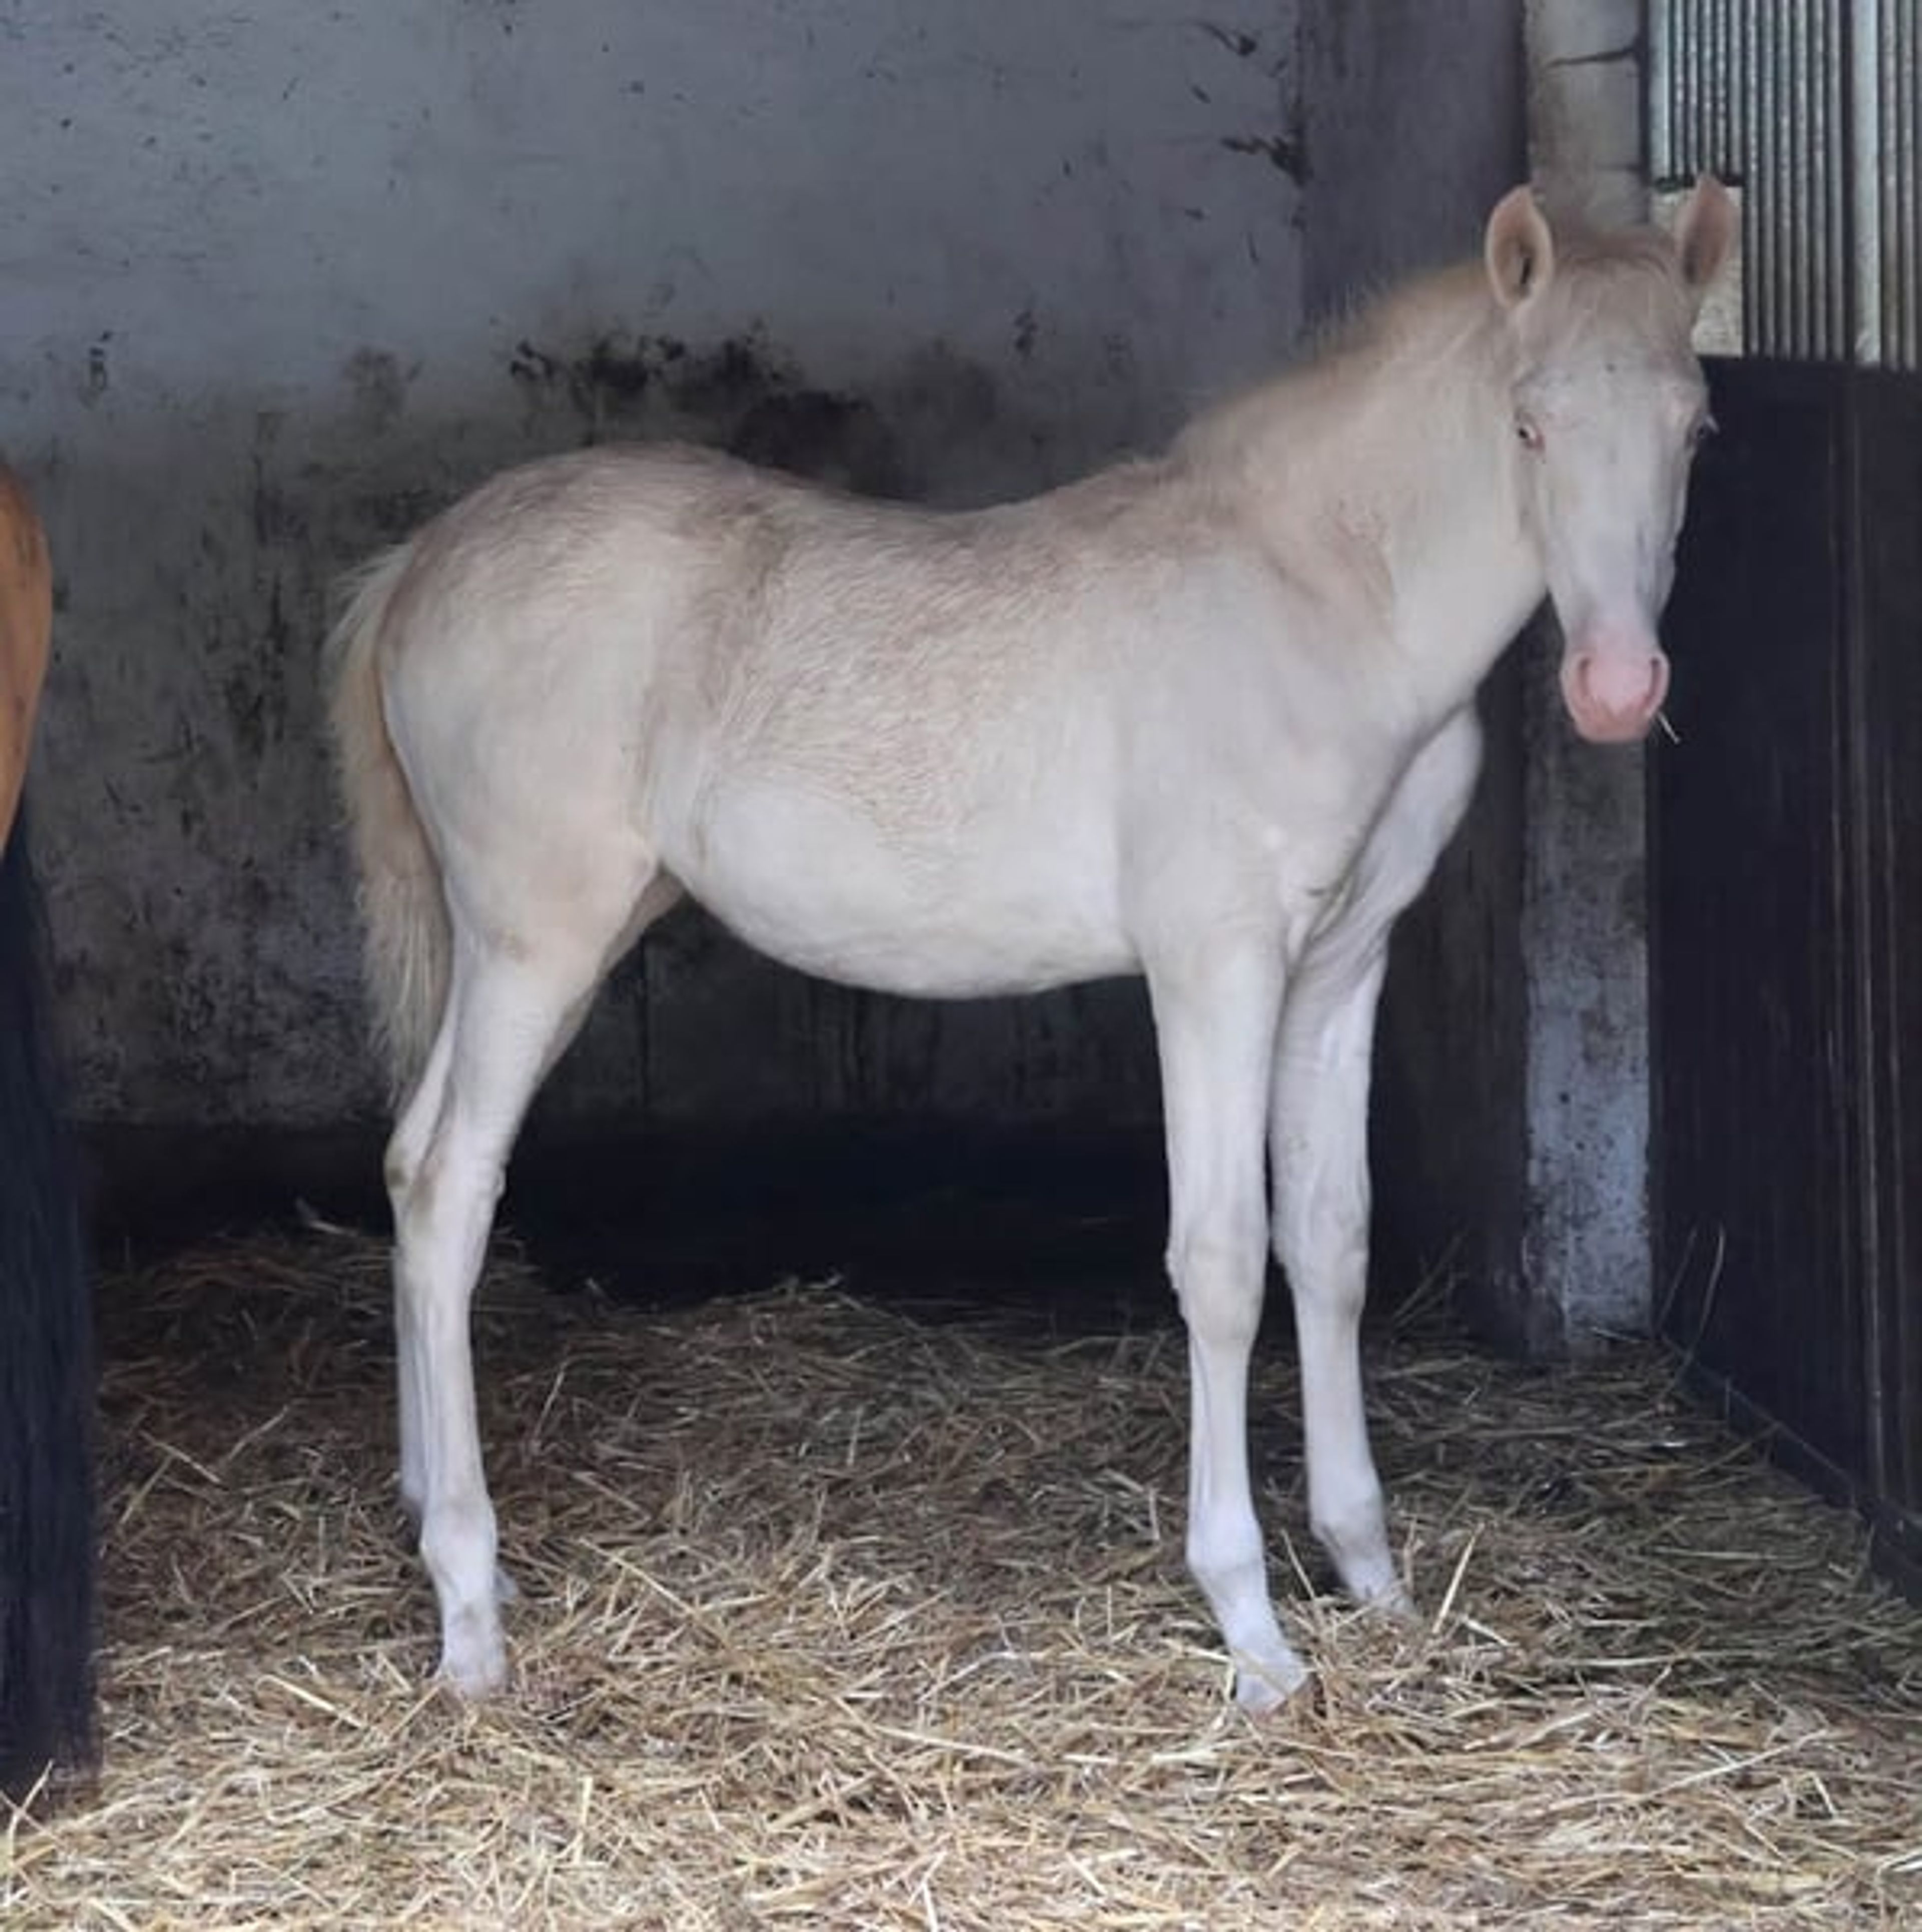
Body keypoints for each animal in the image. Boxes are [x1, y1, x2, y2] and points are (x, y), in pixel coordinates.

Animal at [328, 180, 1735, 1712]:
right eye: (1527, 424)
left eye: (1696, 428)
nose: (1616, 689)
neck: (1314, 600)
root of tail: (419, 563)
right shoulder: (1214, 965)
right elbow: (1223, 1260)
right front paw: (1252, 1630)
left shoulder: (1339, 967)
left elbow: (1332, 1239)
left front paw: (1370, 1571)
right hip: (540, 936)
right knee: (451, 1188)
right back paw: (471, 1611)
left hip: (521, 940)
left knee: (406, 1163)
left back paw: (435, 1525)